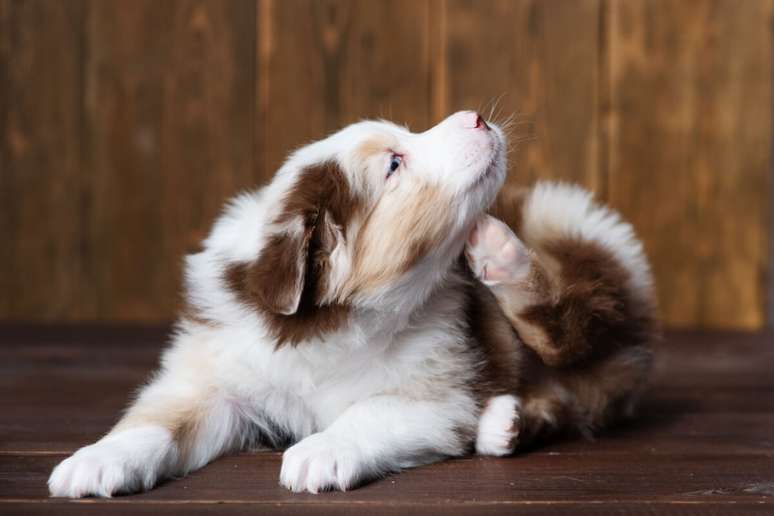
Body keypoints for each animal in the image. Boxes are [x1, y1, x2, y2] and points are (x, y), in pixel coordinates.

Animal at [47, 112, 656, 496]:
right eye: (394, 163)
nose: (478, 117)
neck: (330, 327)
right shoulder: (217, 375)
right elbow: (157, 419)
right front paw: (94, 462)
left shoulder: (436, 393)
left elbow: (368, 410)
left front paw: (319, 452)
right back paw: (503, 424)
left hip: (566, 232)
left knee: (573, 321)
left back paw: (498, 251)